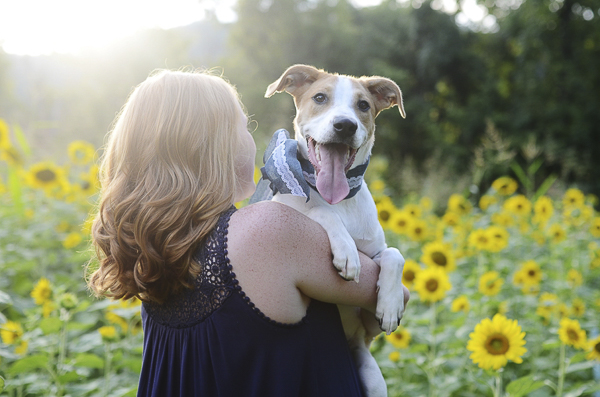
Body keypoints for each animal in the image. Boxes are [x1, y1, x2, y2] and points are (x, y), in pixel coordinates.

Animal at [258, 65, 408, 396]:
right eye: (319, 98)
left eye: (363, 105)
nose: (345, 125)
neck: (341, 202)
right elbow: (321, 211)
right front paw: (347, 253)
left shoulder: (368, 318)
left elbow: (395, 254)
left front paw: (390, 304)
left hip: (373, 377)